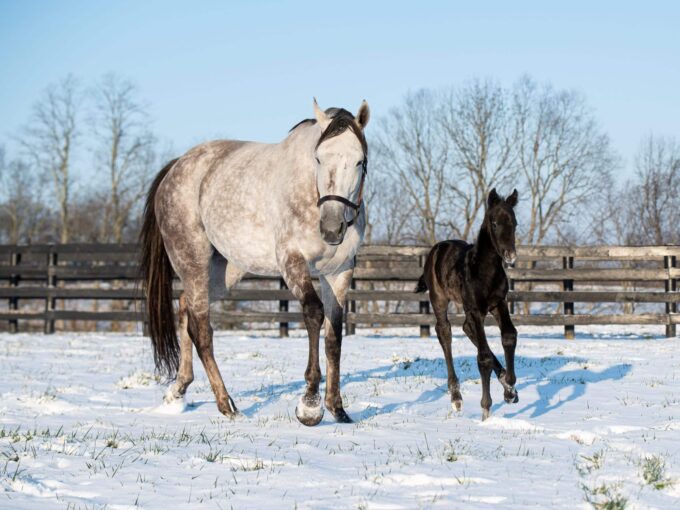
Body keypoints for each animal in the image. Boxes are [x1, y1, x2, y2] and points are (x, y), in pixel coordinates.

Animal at [140, 99, 370, 426]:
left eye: (360, 161)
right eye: (319, 159)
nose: (331, 227)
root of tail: (176, 167)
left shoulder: (339, 271)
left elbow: (333, 335)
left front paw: (337, 408)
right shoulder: (291, 262)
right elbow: (314, 314)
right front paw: (310, 406)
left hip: (223, 271)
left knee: (185, 308)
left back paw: (178, 390)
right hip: (193, 259)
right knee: (202, 329)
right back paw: (225, 404)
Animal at [414, 189, 520, 420]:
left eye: (515, 223)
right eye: (494, 223)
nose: (510, 255)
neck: (484, 270)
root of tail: (438, 247)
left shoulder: (498, 303)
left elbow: (509, 335)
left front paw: (510, 388)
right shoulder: (476, 310)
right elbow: (483, 357)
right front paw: (486, 408)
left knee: (467, 329)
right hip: (439, 299)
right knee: (445, 333)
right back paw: (456, 397)